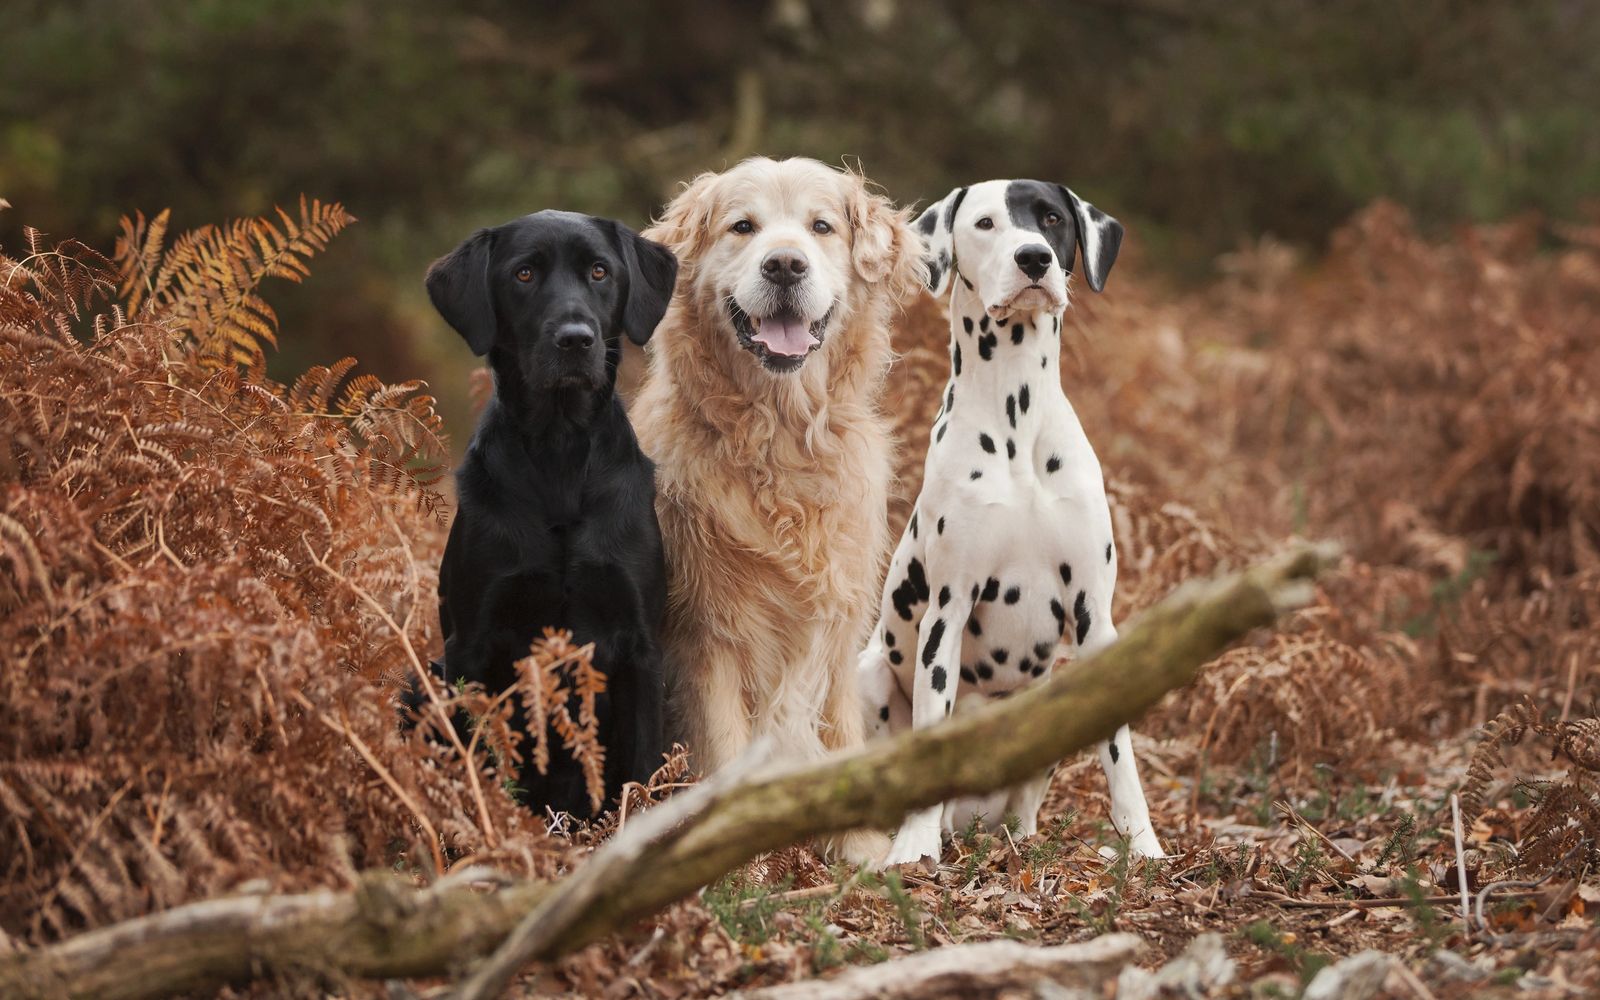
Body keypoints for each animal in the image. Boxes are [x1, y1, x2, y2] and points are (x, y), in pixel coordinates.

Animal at [419, 208, 675, 819]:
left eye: (600, 271)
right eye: (525, 274)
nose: (575, 339)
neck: (560, 450)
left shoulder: (641, 646)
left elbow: (641, 767)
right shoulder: (470, 644)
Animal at [864, 177, 1164, 864]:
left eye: (1051, 219)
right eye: (984, 223)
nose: (1034, 259)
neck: (1016, 417)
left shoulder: (1094, 613)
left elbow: (1120, 754)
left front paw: (1143, 843)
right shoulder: (947, 610)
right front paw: (914, 849)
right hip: (867, 676)